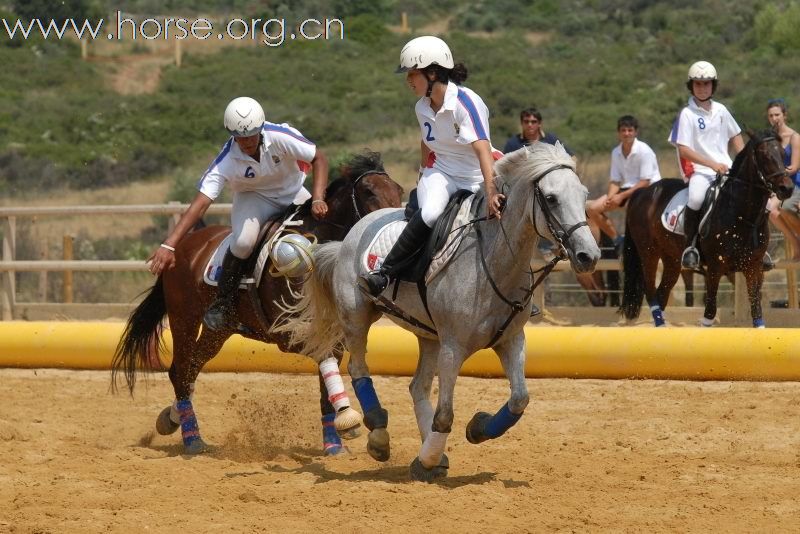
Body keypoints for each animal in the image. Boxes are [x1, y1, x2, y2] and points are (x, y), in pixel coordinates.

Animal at [109, 153, 404, 458]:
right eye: (369, 191)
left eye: (400, 191)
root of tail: (183, 245)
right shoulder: (291, 332)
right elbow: (325, 365)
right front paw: (348, 417)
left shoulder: (332, 335)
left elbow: (325, 387)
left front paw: (334, 443)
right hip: (184, 320)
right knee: (179, 371)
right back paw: (192, 439)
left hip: (218, 331)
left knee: (189, 370)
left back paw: (172, 418)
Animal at [276, 144, 600, 484]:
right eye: (551, 198)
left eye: (583, 195)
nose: (588, 256)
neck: (494, 261)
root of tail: (350, 235)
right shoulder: (453, 347)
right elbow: (445, 415)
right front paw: (426, 460)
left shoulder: (511, 340)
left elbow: (519, 400)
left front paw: (477, 428)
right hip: (357, 316)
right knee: (358, 368)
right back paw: (380, 436)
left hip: (427, 335)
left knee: (417, 386)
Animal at [620, 131, 792, 330]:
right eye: (764, 154)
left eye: (783, 153)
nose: (787, 188)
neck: (743, 216)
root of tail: (643, 192)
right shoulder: (715, 267)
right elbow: (710, 311)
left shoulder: (753, 266)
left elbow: (757, 310)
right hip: (648, 252)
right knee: (650, 290)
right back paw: (660, 324)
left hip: (671, 259)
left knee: (662, 292)